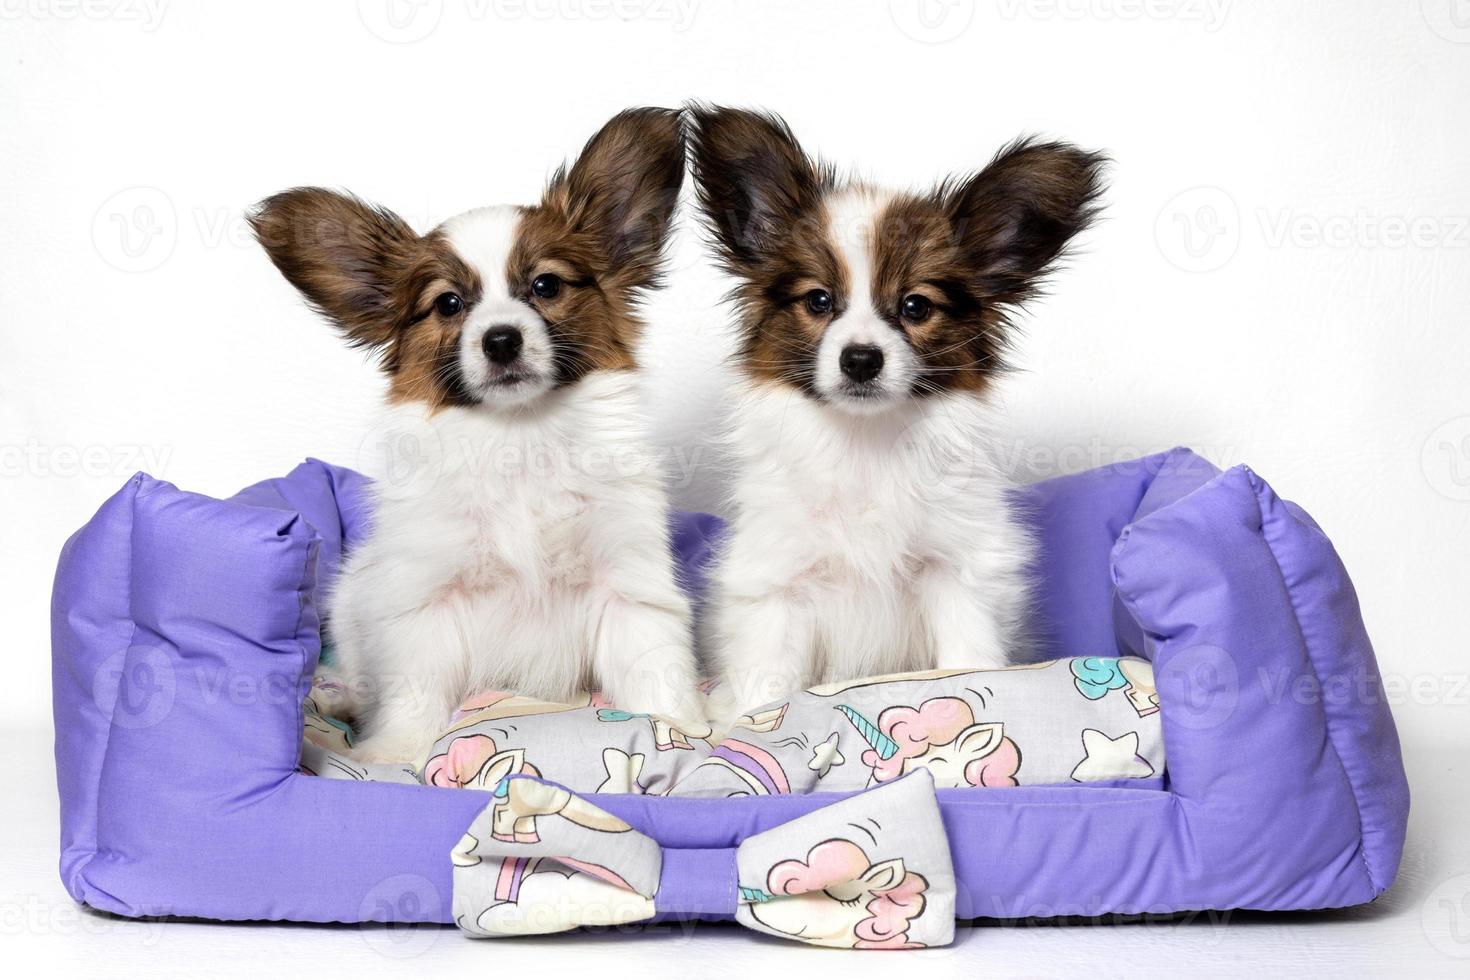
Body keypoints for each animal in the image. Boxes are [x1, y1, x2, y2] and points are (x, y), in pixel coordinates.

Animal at [252, 109, 705, 764]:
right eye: (448, 303)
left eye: (546, 287)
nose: (501, 340)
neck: (519, 435)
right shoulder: (427, 604)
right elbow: (416, 695)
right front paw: (390, 756)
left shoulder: (628, 587)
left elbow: (654, 673)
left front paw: (687, 731)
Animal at [687, 107, 1105, 725]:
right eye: (818, 300)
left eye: (916, 306)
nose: (861, 359)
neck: (868, 441)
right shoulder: (779, 585)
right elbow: (769, 685)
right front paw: (750, 724)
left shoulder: (957, 571)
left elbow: (969, 656)